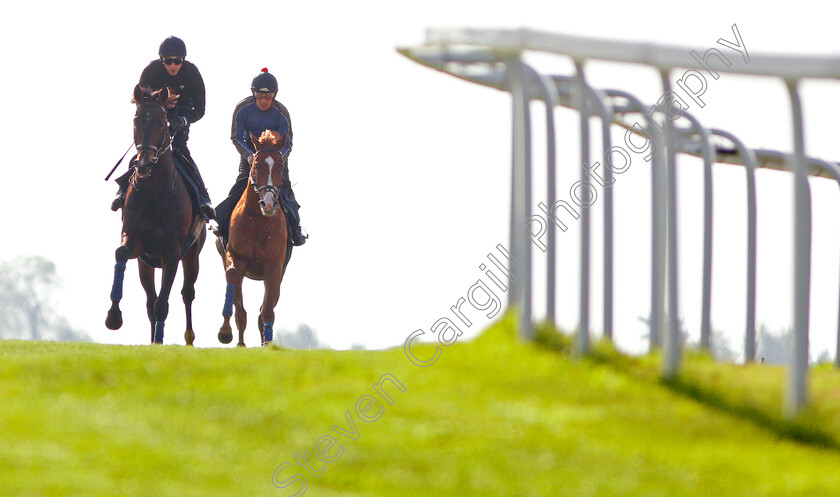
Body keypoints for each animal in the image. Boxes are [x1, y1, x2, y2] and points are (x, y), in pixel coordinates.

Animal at [106, 83, 206, 342]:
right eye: (136, 121)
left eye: (162, 123)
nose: (144, 164)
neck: (154, 193)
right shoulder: (137, 244)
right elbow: (121, 253)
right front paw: (113, 316)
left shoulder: (171, 253)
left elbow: (163, 304)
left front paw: (159, 341)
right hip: (147, 264)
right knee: (150, 300)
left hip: (192, 255)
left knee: (186, 293)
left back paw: (189, 337)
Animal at [218, 129, 290, 344]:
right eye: (257, 165)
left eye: (280, 166)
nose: (269, 203)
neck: (258, 219)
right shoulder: (235, 256)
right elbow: (233, 278)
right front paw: (225, 331)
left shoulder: (274, 266)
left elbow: (266, 311)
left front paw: (267, 343)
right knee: (241, 308)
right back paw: (240, 342)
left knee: (265, 309)